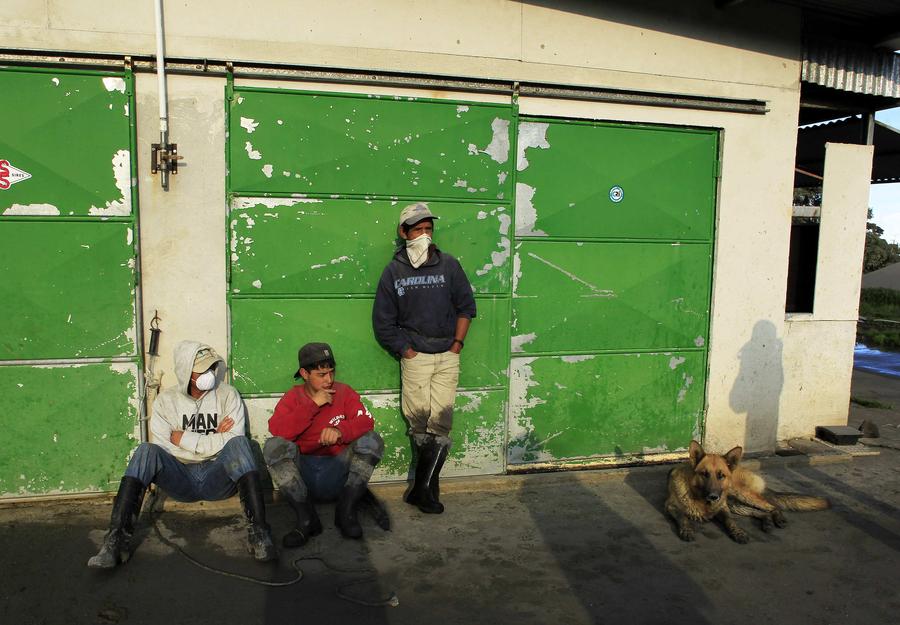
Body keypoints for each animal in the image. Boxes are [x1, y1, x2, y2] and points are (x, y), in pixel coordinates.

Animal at [668, 438, 828, 540]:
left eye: (721, 475)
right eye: (704, 474)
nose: (714, 496)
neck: (701, 499)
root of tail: (737, 467)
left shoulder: (723, 508)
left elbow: (730, 521)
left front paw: (738, 532)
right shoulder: (671, 506)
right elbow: (683, 517)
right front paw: (687, 529)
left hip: (741, 495)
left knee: (772, 507)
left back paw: (778, 519)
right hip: (736, 503)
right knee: (759, 512)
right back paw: (767, 522)